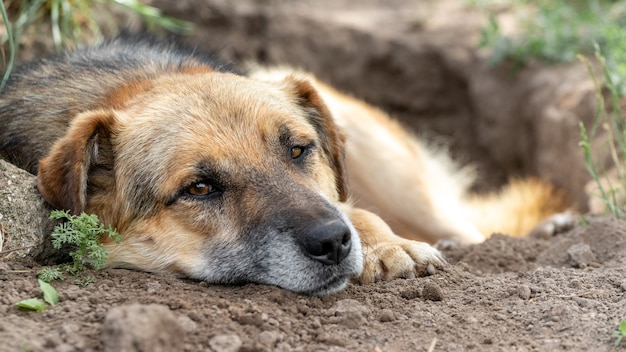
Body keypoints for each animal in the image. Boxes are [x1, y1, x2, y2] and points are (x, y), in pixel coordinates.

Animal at [0, 34, 568, 296]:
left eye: (298, 150)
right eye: (199, 188)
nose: (333, 244)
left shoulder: (339, 194)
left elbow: (357, 210)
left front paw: (386, 246)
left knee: (464, 221)